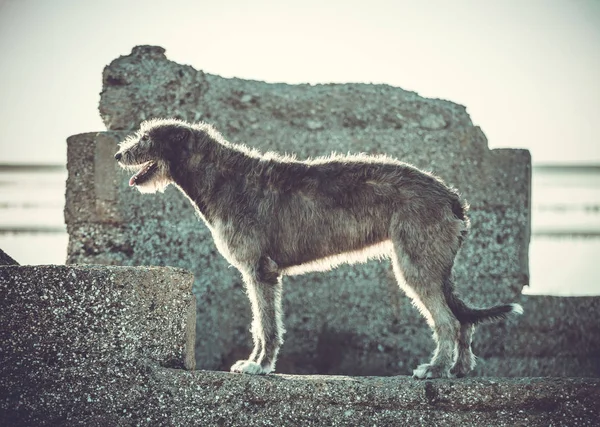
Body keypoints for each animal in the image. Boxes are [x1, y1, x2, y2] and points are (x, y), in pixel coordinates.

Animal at [115, 118, 524, 380]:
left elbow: (266, 325)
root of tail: (451, 196)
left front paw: (258, 366)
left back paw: (435, 369)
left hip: (416, 262)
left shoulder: (260, 269)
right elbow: (264, 324)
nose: (119, 155)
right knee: (462, 319)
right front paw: (258, 363)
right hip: (433, 264)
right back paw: (461, 368)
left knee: (448, 320)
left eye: (146, 137)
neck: (223, 176)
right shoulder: (263, 272)